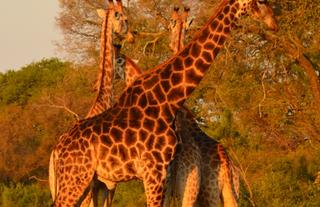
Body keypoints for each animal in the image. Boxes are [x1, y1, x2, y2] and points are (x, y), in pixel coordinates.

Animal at [49, 0, 278, 206]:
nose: (274, 23)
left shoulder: (157, 175)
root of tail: (59, 149)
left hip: (85, 180)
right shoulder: (155, 170)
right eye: (260, 1)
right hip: (78, 179)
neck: (169, 98)